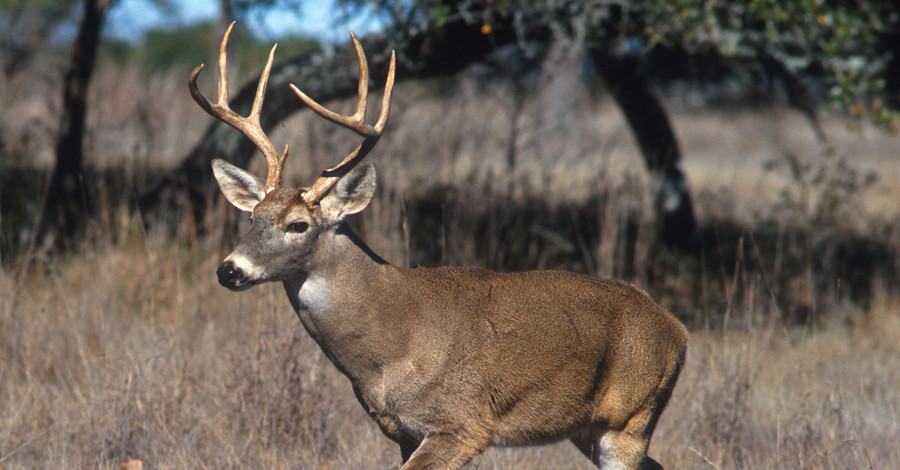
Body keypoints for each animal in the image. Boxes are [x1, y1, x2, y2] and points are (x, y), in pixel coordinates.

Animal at [190, 23, 684, 470]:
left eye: (298, 224)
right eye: (251, 218)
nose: (229, 269)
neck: (388, 346)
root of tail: (676, 328)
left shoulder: (461, 424)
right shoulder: (402, 432)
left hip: (631, 417)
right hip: (589, 428)